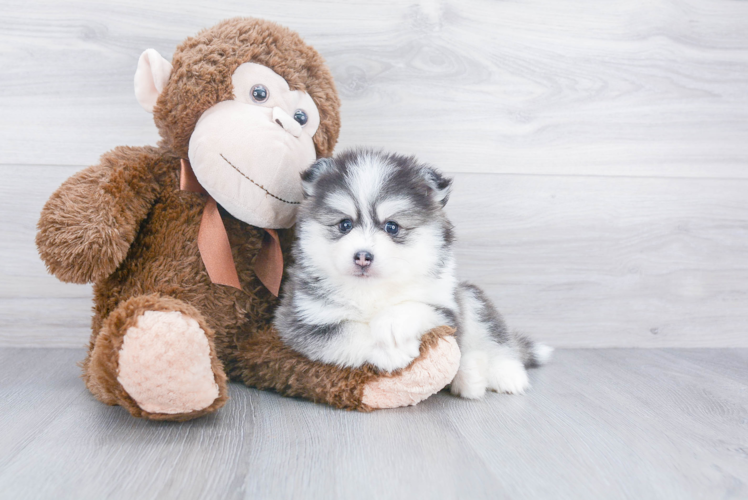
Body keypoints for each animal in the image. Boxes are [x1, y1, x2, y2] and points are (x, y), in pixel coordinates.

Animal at [274, 148, 548, 398]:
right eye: (345, 224)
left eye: (392, 227)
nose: (362, 256)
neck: (372, 289)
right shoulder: (300, 319)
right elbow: (345, 332)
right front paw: (390, 352)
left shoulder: (447, 309)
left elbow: (415, 306)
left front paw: (392, 322)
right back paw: (471, 376)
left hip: (469, 295)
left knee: (495, 340)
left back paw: (503, 374)